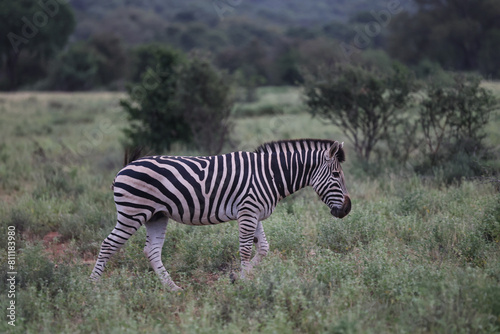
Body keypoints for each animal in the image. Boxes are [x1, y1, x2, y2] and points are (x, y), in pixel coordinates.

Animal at [92, 138, 354, 290]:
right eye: (336, 175)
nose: (347, 209)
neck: (271, 174)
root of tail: (124, 168)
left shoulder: (254, 212)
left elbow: (263, 248)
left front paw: (239, 277)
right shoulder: (248, 211)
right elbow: (246, 249)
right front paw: (245, 284)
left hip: (157, 215)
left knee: (152, 251)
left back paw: (173, 289)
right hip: (132, 213)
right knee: (108, 245)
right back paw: (92, 288)